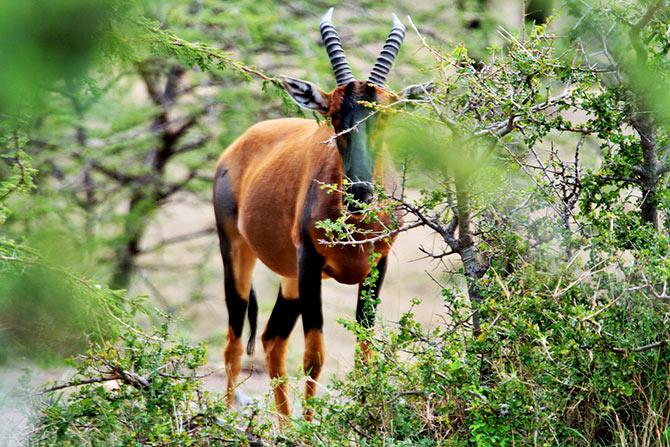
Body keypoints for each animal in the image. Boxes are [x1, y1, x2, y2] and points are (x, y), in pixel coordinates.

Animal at [213, 7, 406, 420]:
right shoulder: (310, 262)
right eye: (333, 115)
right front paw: (312, 426)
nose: (360, 193)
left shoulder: (378, 265)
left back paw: (285, 425)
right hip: (239, 253)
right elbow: (315, 355)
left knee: (271, 339)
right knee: (234, 340)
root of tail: (238, 146)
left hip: (289, 279)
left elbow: (364, 351)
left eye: (381, 117)